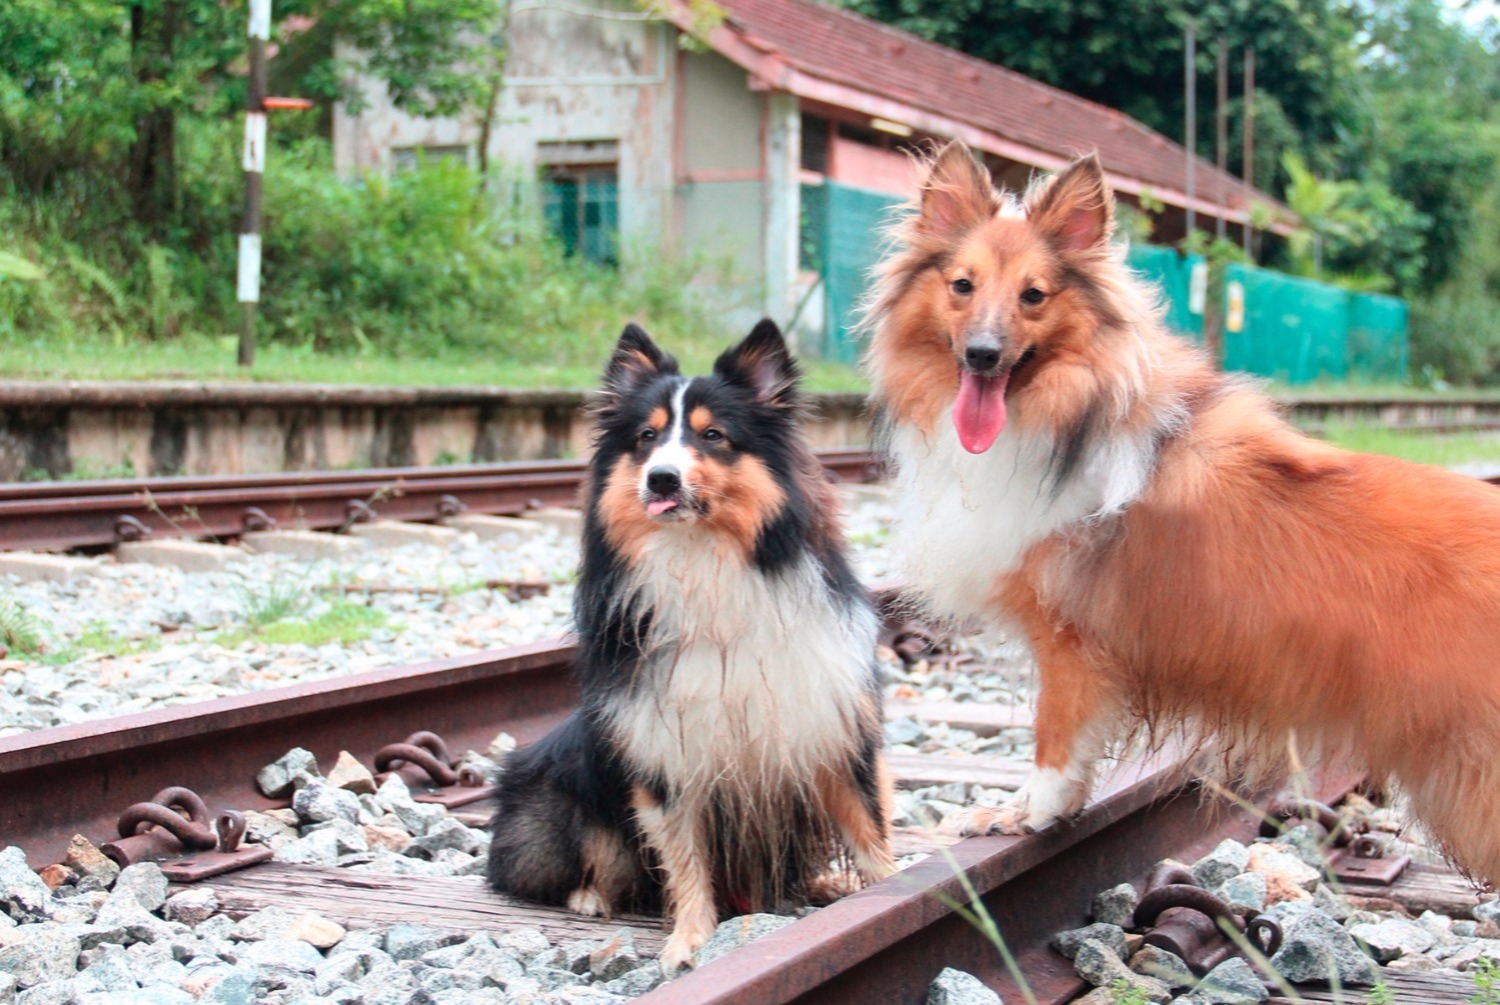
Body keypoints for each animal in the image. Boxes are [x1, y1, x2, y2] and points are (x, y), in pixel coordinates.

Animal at [489, 321, 888, 966]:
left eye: (713, 435)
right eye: (647, 438)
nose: (661, 477)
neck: (704, 559)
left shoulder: (829, 721)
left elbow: (868, 826)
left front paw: (903, 888)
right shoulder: (662, 746)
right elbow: (684, 857)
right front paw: (687, 943)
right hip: (555, 793)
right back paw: (590, 897)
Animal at [864, 141, 1500, 882]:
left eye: (1034, 295)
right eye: (962, 286)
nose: (983, 354)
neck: (1066, 411)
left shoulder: (1072, 640)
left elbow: (1056, 739)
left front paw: (1027, 813)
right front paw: (1022, 810)